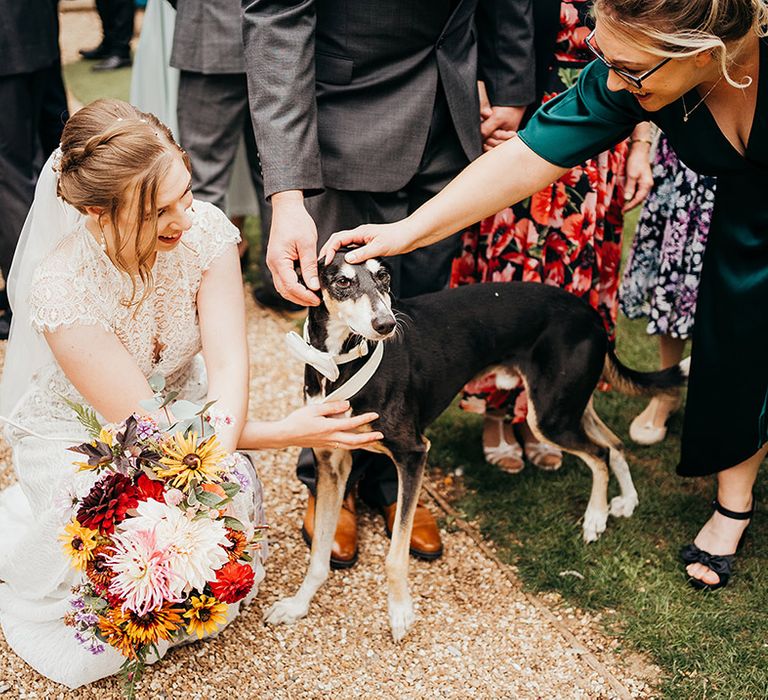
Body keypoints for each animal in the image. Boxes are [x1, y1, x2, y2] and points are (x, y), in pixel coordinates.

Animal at [266, 250, 688, 640]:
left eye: (383, 276)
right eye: (342, 281)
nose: (385, 325)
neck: (341, 362)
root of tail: (591, 312)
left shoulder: (413, 454)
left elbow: (394, 557)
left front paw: (400, 613)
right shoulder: (331, 460)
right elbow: (319, 553)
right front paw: (298, 605)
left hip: (551, 416)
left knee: (599, 452)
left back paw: (595, 518)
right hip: (566, 406)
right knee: (613, 444)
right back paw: (627, 501)